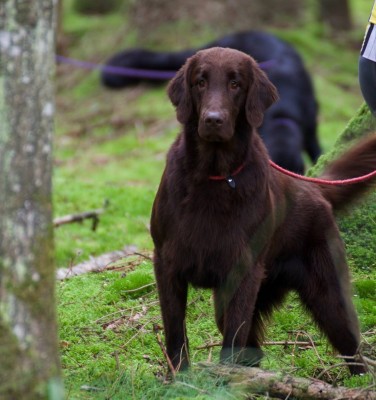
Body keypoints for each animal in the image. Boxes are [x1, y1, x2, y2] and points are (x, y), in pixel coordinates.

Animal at [151, 47, 376, 376]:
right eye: (200, 82)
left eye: (235, 84)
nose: (213, 120)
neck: (214, 175)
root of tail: (314, 190)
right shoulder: (166, 262)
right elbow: (175, 332)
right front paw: (179, 378)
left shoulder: (243, 271)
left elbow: (233, 338)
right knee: (253, 350)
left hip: (329, 295)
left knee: (354, 350)